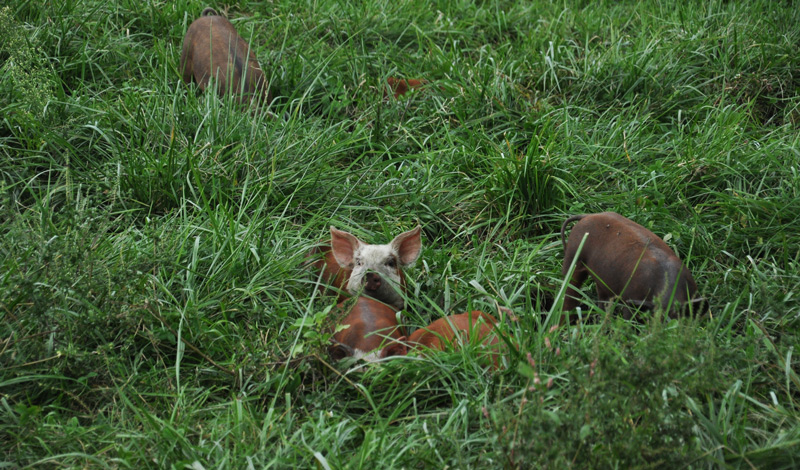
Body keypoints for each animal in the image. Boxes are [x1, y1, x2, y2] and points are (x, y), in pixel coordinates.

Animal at [560, 212, 704, 318]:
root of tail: (587, 216)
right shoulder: (630, 298)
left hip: (602, 280)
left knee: (602, 299)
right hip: (572, 255)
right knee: (568, 291)